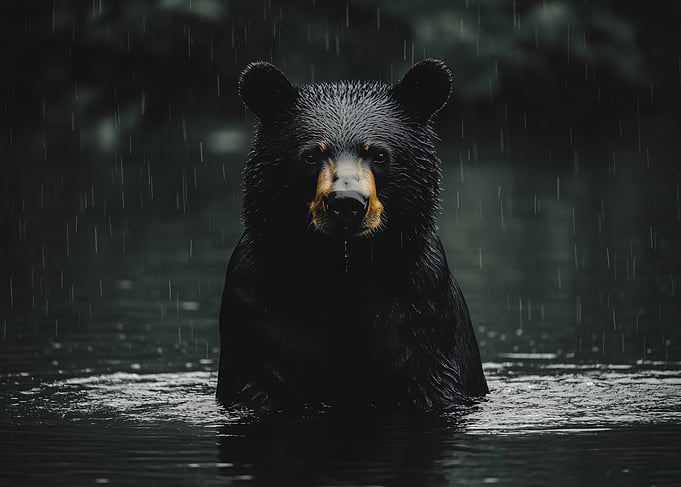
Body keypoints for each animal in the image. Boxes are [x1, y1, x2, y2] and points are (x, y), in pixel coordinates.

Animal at [217, 59, 488, 413]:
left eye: (379, 154)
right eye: (310, 155)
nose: (347, 203)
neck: (344, 263)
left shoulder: (421, 308)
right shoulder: (255, 304)